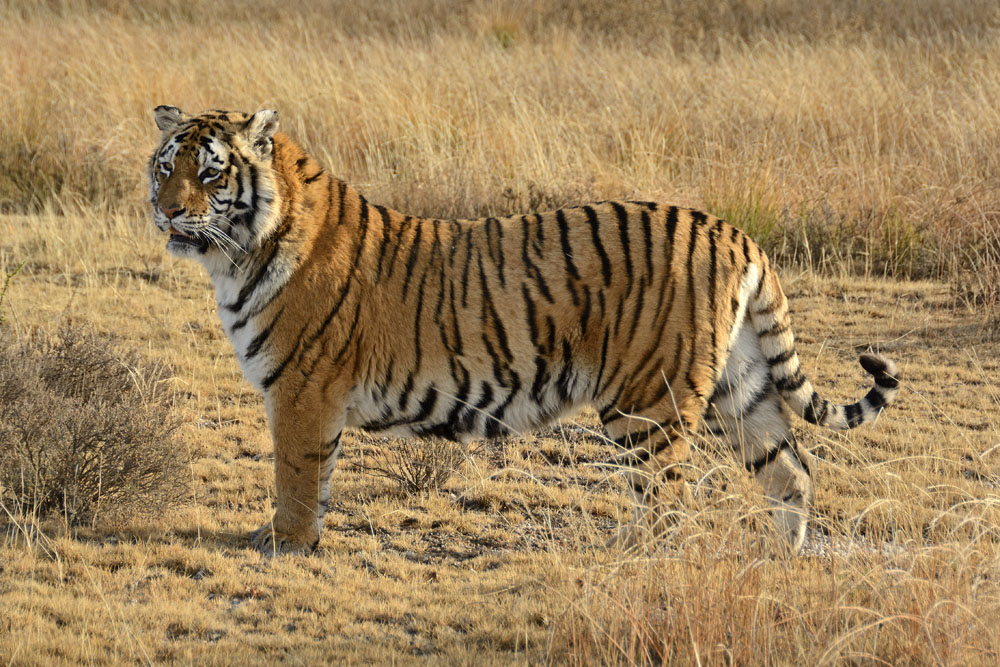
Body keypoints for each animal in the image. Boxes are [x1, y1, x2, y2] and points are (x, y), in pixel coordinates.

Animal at [148, 106, 900, 556]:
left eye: (210, 172)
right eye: (164, 166)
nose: (166, 212)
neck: (237, 253)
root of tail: (733, 231)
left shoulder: (302, 393)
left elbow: (296, 476)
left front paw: (284, 543)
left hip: (647, 404)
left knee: (671, 500)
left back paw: (638, 564)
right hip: (741, 389)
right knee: (792, 471)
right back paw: (782, 561)